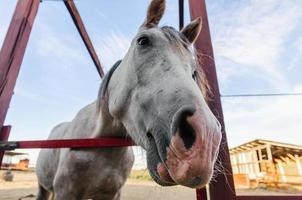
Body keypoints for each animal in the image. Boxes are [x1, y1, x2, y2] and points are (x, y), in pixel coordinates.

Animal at [36, 0, 222, 199]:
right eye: (143, 41)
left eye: (194, 71)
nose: (206, 140)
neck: (100, 145)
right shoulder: (65, 192)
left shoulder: (112, 194)